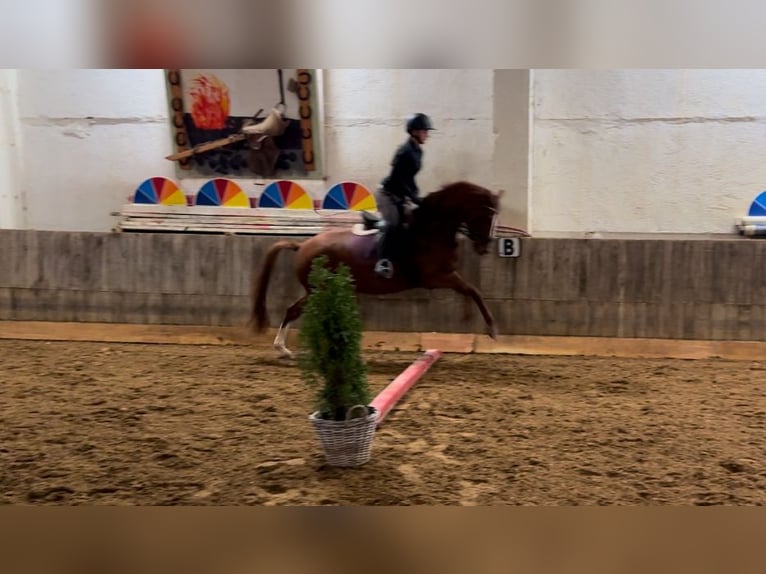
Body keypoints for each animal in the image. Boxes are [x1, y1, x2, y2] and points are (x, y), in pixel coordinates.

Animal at [252, 182, 504, 358]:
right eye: (486, 214)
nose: (484, 246)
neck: (431, 230)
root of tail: (303, 246)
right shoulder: (435, 277)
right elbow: (472, 290)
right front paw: (492, 328)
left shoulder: (446, 274)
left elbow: (469, 290)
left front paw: (471, 317)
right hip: (319, 290)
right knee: (295, 311)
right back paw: (284, 348)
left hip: (320, 290)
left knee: (295, 311)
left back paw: (290, 349)